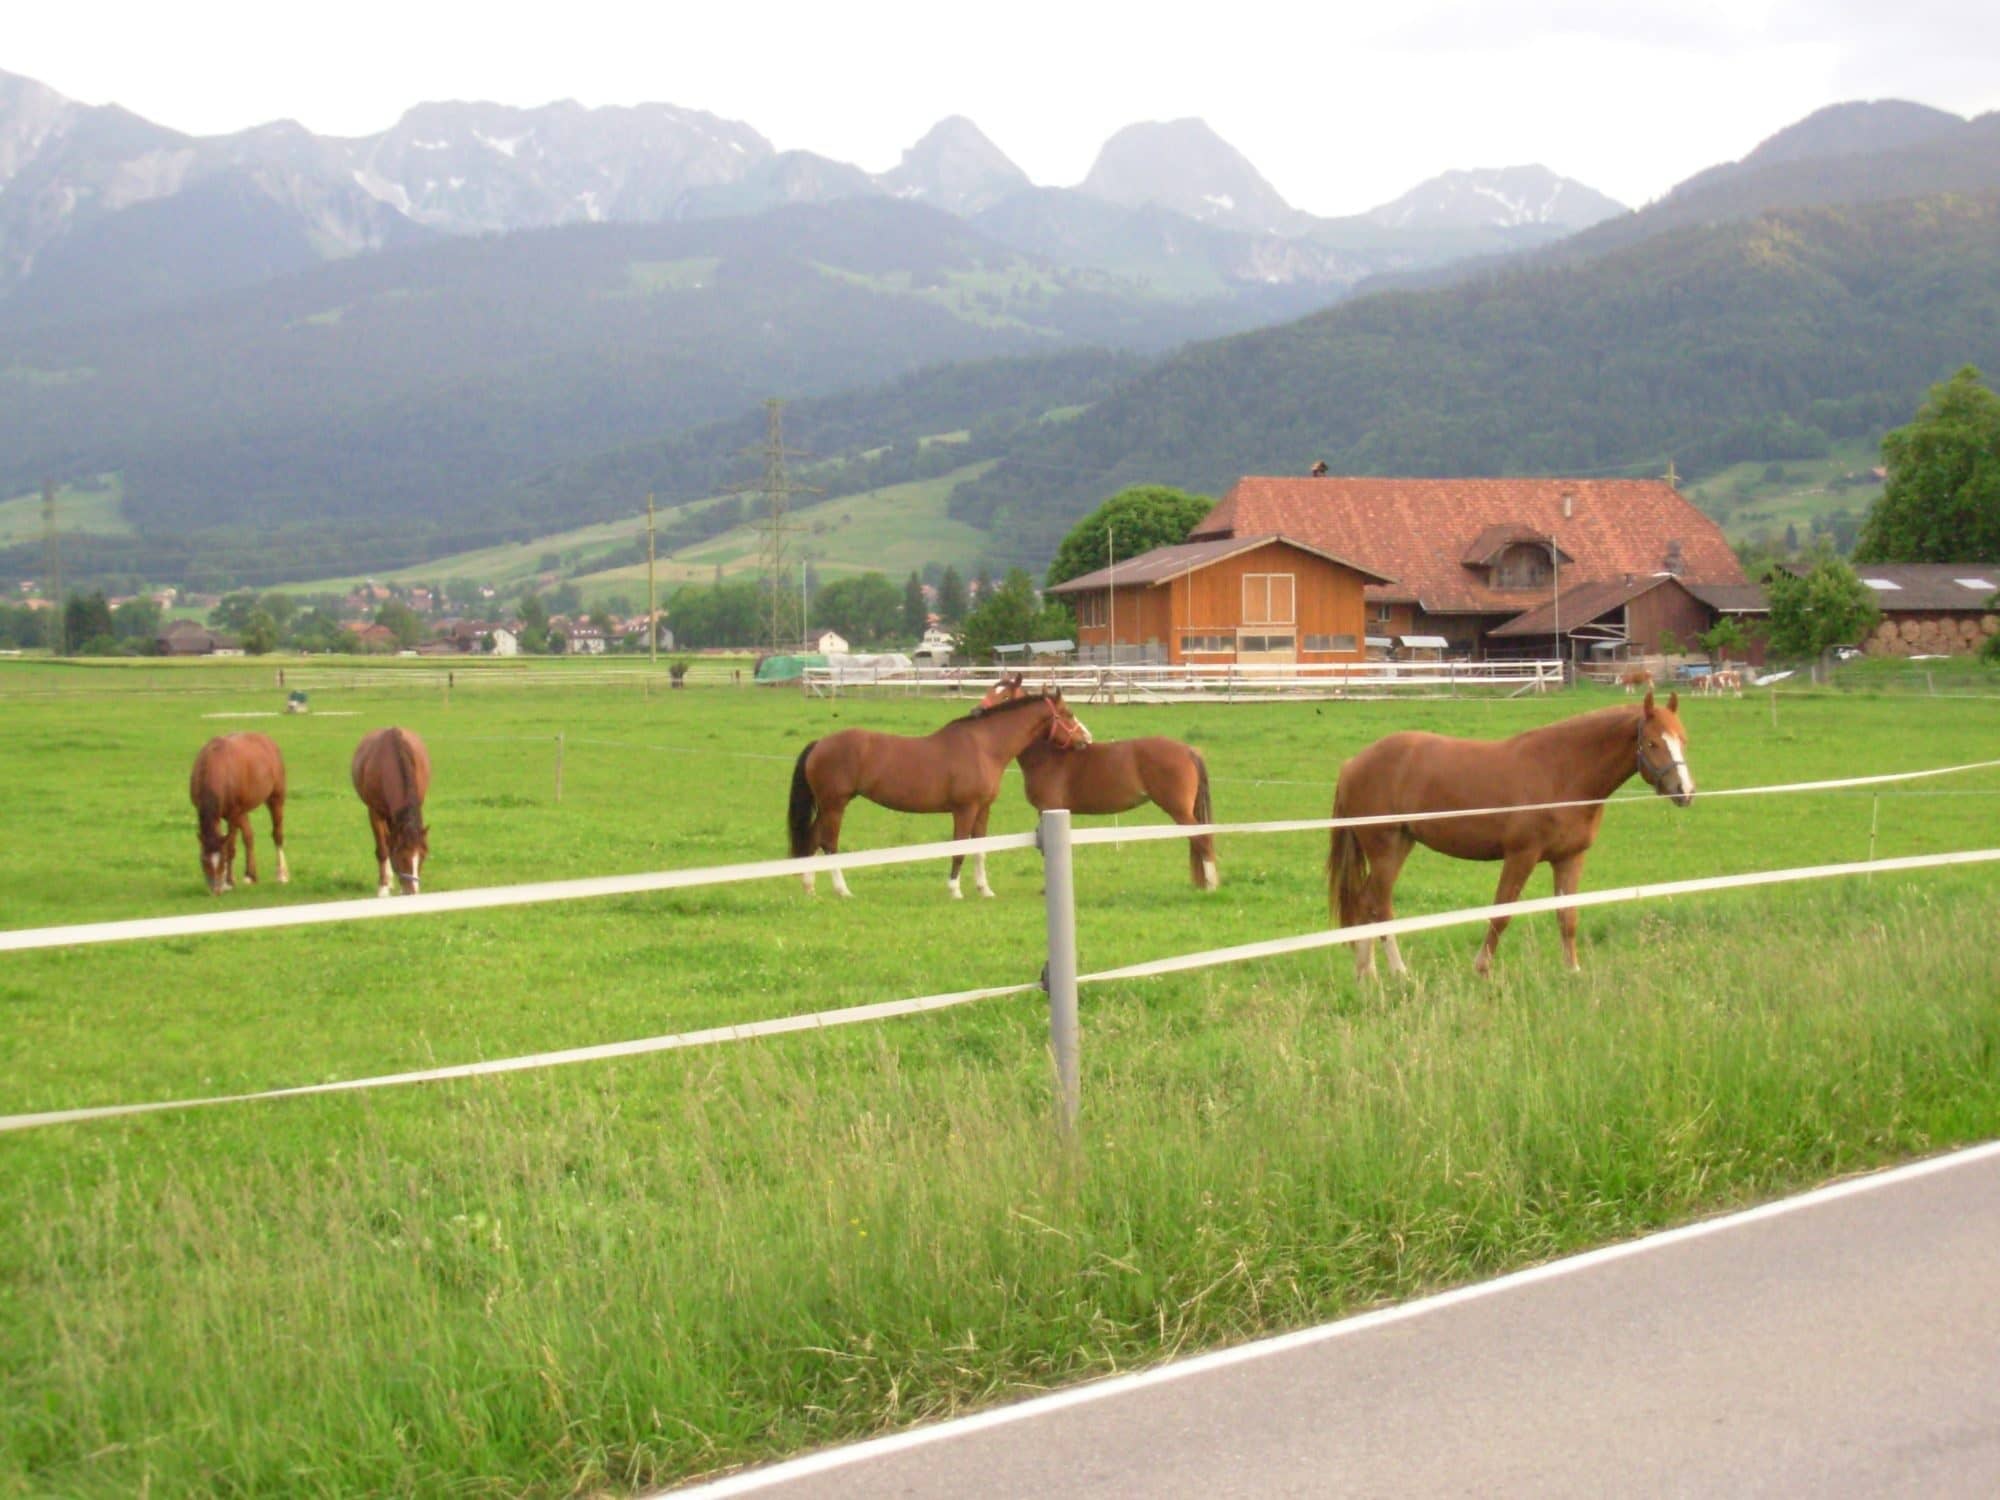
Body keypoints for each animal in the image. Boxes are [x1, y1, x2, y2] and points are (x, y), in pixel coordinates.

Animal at [188, 733, 289, 895]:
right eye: (203, 860)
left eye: (222, 860)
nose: (215, 891)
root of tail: (268, 741)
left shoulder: (233, 814)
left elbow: (230, 847)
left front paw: (228, 882)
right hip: (243, 812)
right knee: (249, 836)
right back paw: (251, 876)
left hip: (276, 798)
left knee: (277, 835)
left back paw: (282, 875)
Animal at [351, 727, 432, 897]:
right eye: (401, 857)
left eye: (423, 856)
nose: (411, 892)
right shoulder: (375, 812)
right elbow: (383, 850)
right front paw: (383, 888)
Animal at [787, 689, 1089, 898]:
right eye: (1068, 713)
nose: (1086, 739)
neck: (983, 747)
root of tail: (820, 744)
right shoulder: (965, 809)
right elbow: (959, 849)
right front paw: (955, 890)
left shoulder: (983, 809)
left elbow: (980, 849)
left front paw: (984, 890)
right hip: (835, 805)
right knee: (829, 844)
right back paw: (842, 890)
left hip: (827, 806)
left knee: (812, 839)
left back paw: (809, 888)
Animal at [980, 673, 1218, 889]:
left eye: (1003, 696)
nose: (977, 712)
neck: (1049, 756)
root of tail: (1188, 750)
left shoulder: (1049, 809)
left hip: (1179, 810)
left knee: (1203, 838)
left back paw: (1211, 884)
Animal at [1328, 692, 1695, 979]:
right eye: (1652, 742)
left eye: (1683, 740)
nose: (1685, 791)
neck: (1561, 772)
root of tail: (1352, 764)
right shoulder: (1522, 855)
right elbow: (1502, 913)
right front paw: (1482, 968)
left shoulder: (1569, 858)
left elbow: (1568, 917)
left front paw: (1573, 971)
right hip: (1386, 849)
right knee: (1380, 905)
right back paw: (1398, 972)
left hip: (1400, 845)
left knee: (1366, 902)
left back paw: (1367, 973)